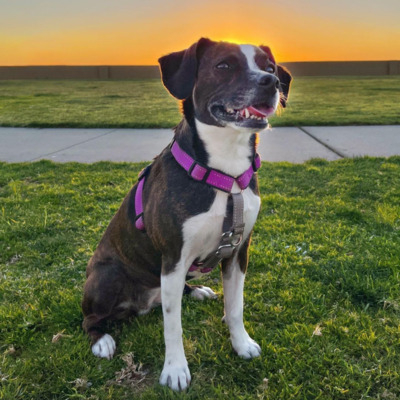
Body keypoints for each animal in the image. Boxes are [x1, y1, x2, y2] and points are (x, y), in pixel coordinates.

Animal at [82, 38, 290, 390]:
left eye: (270, 66)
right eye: (224, 65)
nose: (271, 82)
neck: (225, 170)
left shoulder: (239, 251)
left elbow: (236, 306)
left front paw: (241, 343)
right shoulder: (174, 257)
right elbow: (173, 325)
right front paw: (176, 369)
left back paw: (198, 292)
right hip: (107, 276)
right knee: (88, 319)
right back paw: (102, 340)